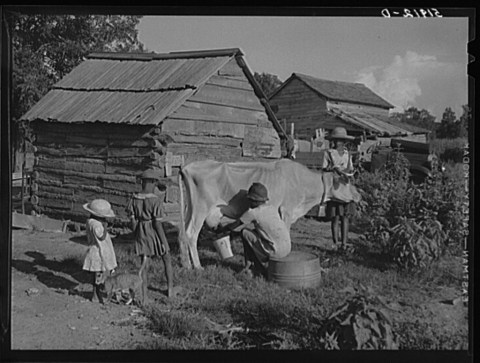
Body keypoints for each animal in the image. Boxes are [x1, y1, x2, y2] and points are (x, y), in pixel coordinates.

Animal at [178, 159, 336, 270]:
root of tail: (186, 167)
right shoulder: (286, 211)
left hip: (190, 208)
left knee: (182, 232)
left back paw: (186, 265)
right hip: (200, 208)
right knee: (191, 233)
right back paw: (197, 266)